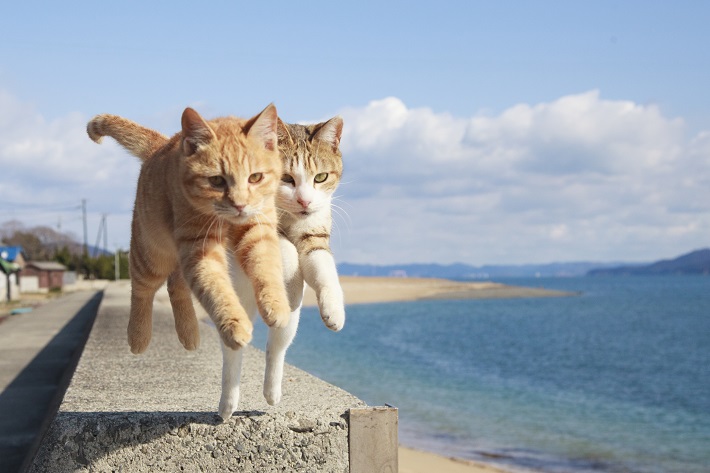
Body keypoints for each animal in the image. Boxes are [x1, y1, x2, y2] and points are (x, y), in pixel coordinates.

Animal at [87, 104, 292, 354]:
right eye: (216, 181)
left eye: (255, 177)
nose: (239, 204)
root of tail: (163, 143)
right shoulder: (201, 247)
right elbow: (216, 288)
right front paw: (234, 326)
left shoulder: (257, 231)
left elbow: (266, 267)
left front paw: (276, 305)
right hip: (152, 255)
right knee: (141, 288)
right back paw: (138, 336)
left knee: (176, 286)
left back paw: (189, 332)